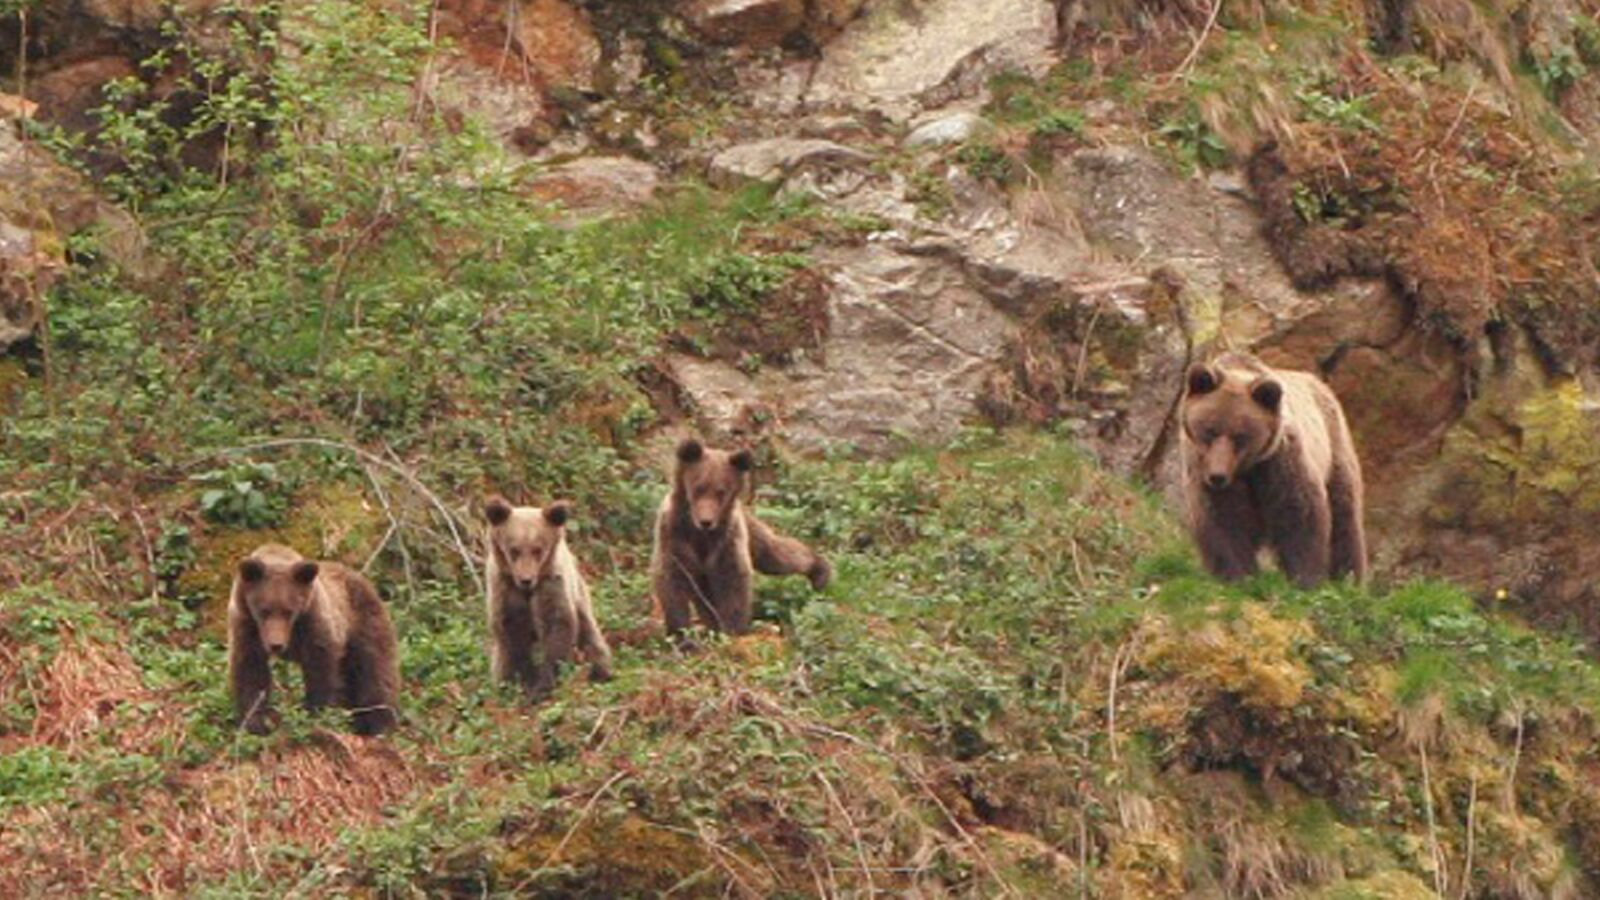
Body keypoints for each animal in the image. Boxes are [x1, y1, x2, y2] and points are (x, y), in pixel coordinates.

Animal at [228, 544, 403, 733]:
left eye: (288, 611)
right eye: (264, 610)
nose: (276, 645)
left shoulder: (313, 620)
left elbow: (320, 668)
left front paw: (316, 712)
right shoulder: (246, 625)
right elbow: (250, 669)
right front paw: (256, 720)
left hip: (363, 623)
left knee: (376, 669)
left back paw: (380, 723)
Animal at [480, 493, 611, 698]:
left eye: (538, 549)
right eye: (514, 550)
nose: (526, 579)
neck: (528, 591)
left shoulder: (552, 582)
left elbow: (556, 624)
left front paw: (543, 685)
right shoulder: (504, 586)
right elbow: (512, 631)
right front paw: (525, 680)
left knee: (591, 641)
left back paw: (599, 673)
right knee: (501, 663)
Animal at [649, 435, 832, 637]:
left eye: (721, 492)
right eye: (699, 488)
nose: (706, 521)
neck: (701, 535)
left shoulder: (727, 538)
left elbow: (734, 580)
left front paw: (733, 629)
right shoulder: (674, 533)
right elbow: (671, 579)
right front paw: (682, 633)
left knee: (777, 555)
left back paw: (820, 572)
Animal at [1177, 350, 1363, 589]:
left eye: (1240, 437)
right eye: (1210, 431)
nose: (1217, 476)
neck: (1246, 468)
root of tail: (1319, 382)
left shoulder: (1279, 461)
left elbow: (1298, 512)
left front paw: (1306, 578)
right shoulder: (1205, 470)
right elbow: (1223, 518)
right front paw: (1239, 575)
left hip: (1334, 446)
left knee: (1344, 514)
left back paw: (1349, 578)